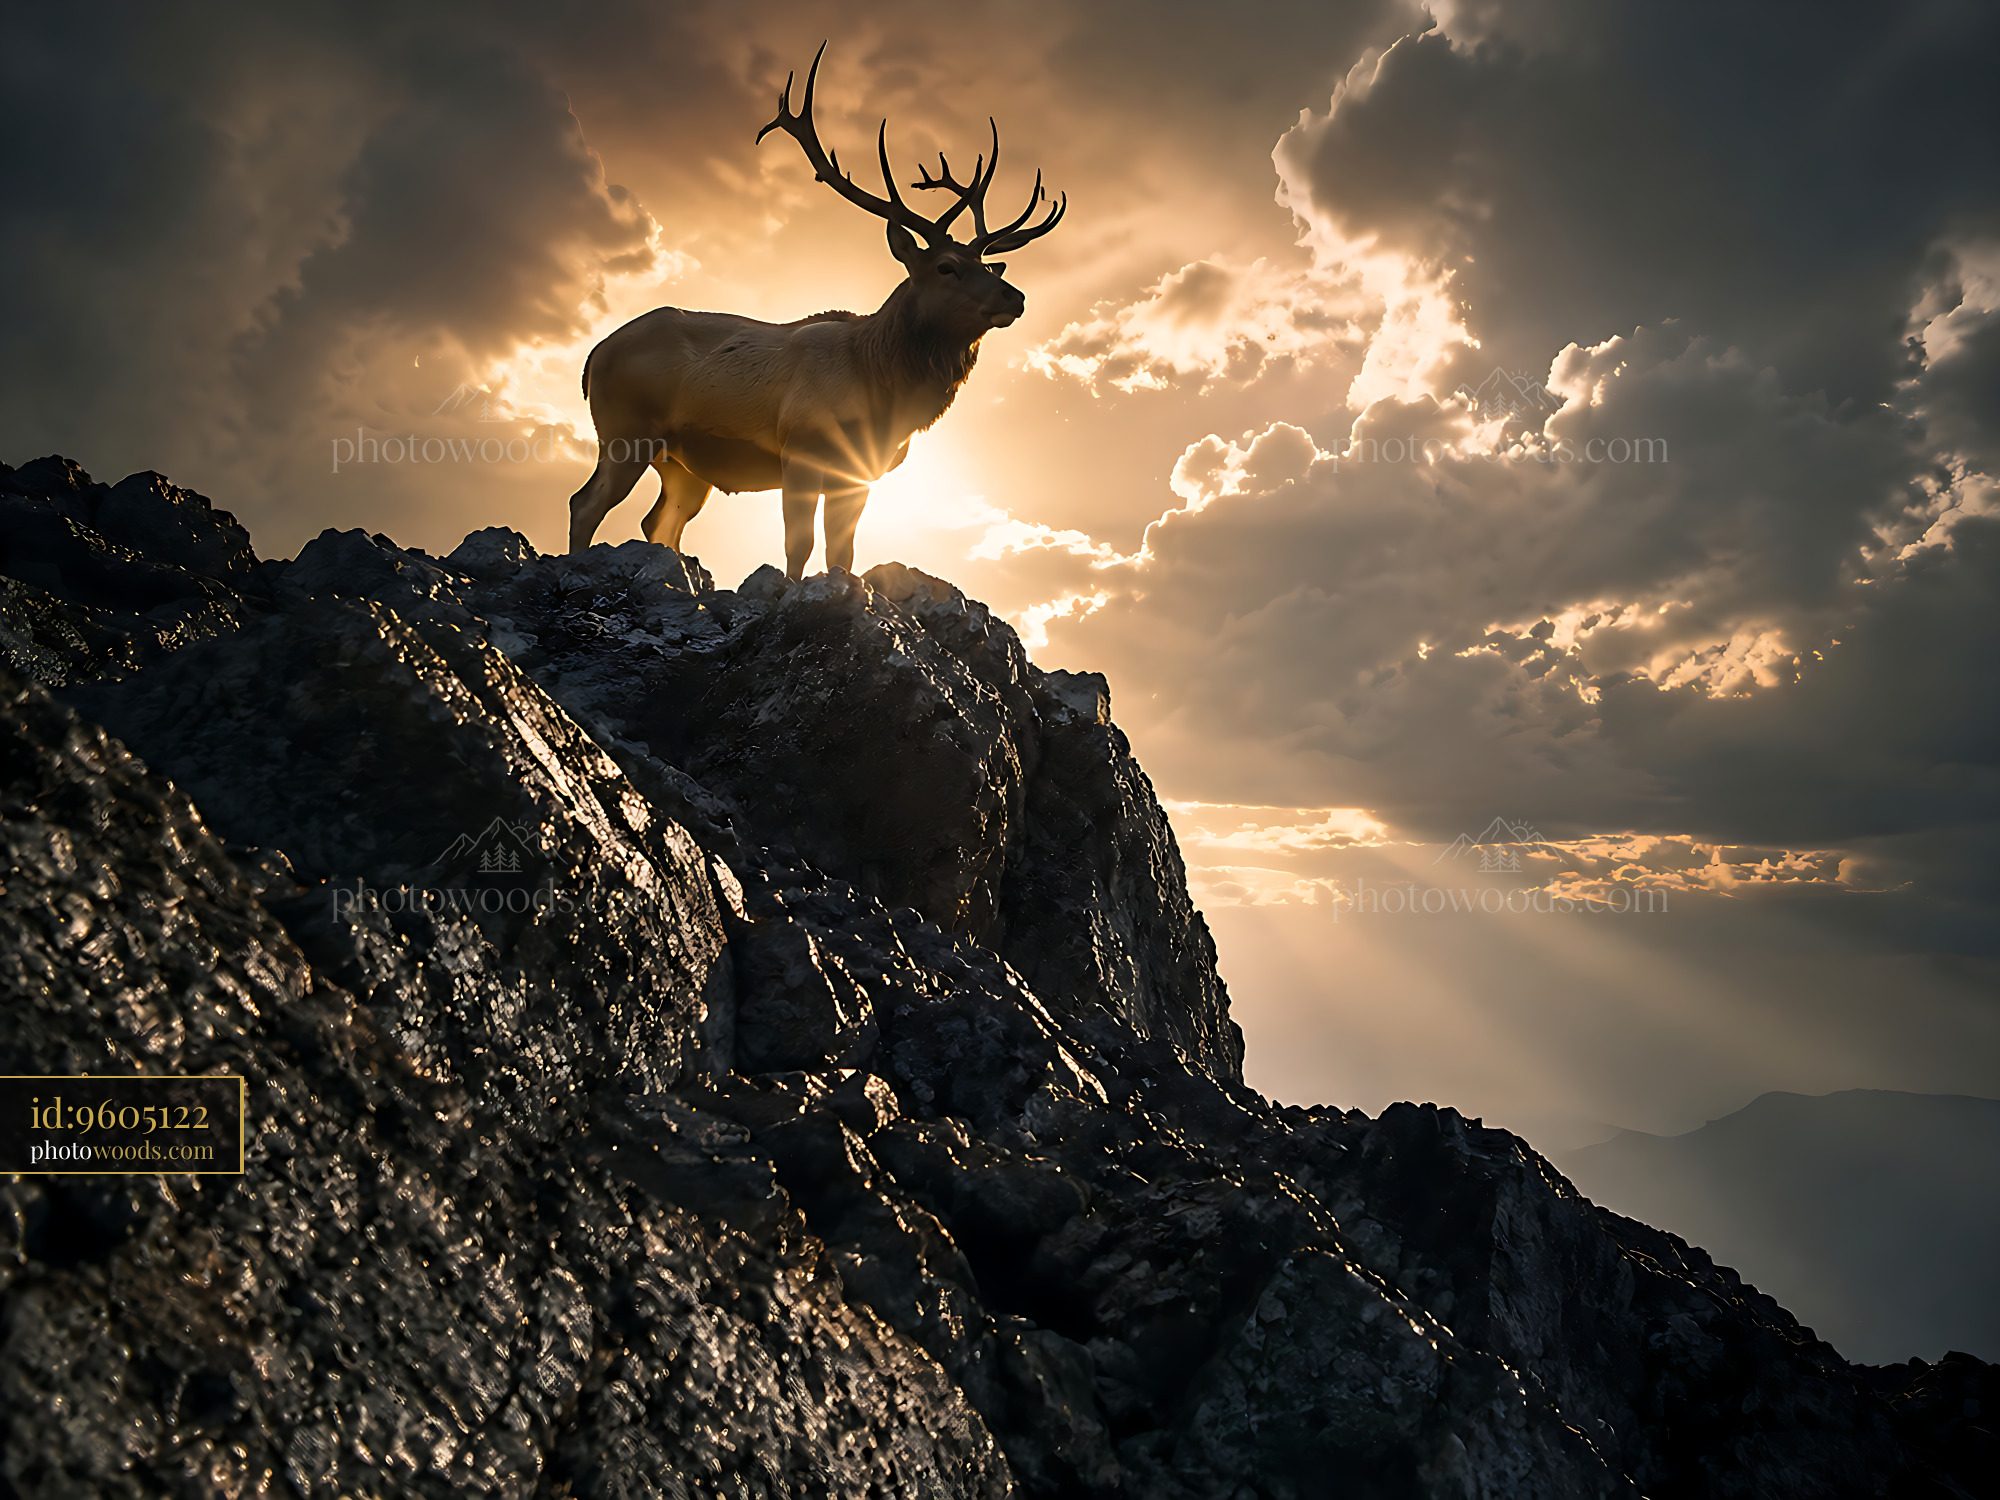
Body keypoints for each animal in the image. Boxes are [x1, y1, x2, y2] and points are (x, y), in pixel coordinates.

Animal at [566, 43, 1065, 578]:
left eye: (987, 265)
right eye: (946, 266)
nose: (1014, 296)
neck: (881, 391)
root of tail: (594, 356)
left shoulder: (859, 475)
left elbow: (841, 553)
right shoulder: (801, 451)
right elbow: (798, 544)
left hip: (682, 463)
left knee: (659, 522)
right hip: (624, 430)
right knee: (586, 502)